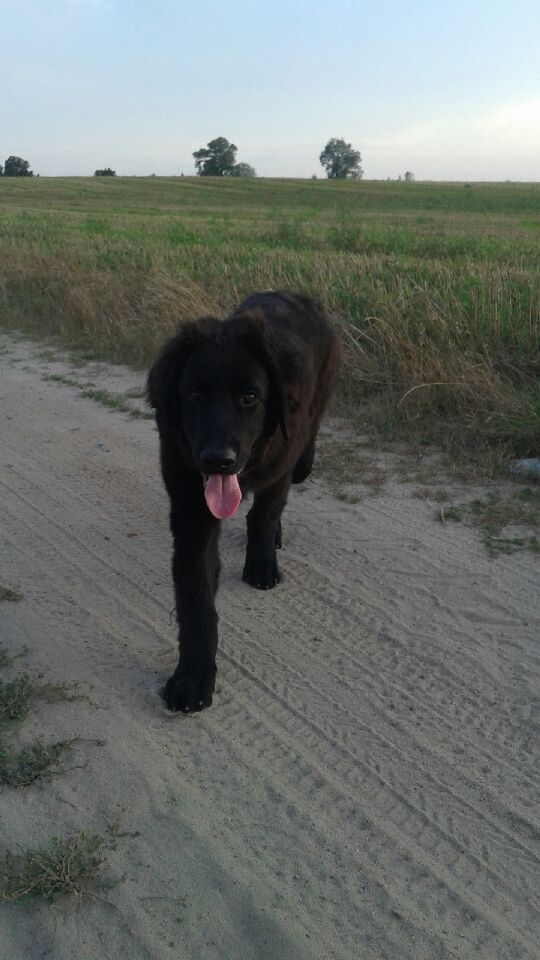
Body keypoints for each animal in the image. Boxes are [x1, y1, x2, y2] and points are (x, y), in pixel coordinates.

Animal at [147, 291, 341, 712]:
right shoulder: (191, 511)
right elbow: (196, 600)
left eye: (250, 398)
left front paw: (262, 564)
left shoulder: (280, 467)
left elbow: (264, 516)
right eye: (195, 395)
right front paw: (193, 678)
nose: (218, 460)